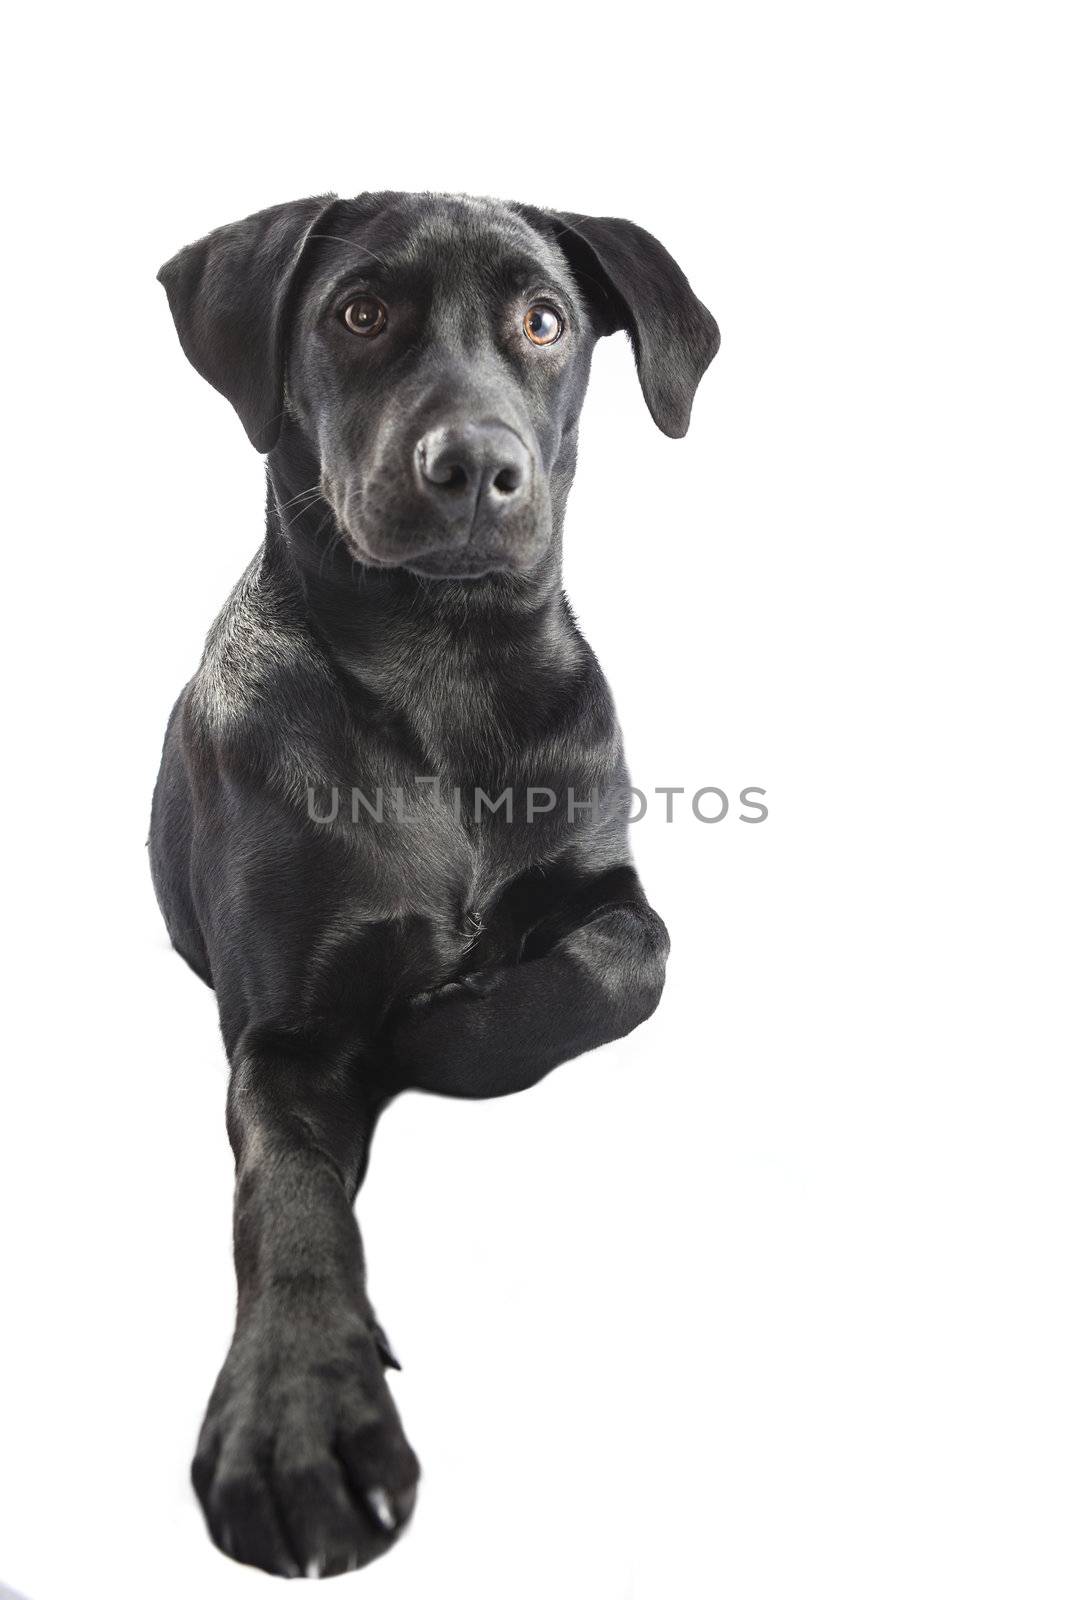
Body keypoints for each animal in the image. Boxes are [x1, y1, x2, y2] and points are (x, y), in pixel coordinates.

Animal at [151, 187, 716, 1574]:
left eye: (544, 319)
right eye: (358, 313)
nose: (471, 467)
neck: (440, 666)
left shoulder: (608, 885)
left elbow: (625, 963)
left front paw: (445, 1023)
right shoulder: (284, 1034)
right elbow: (290, 1207)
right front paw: (298, 1412)